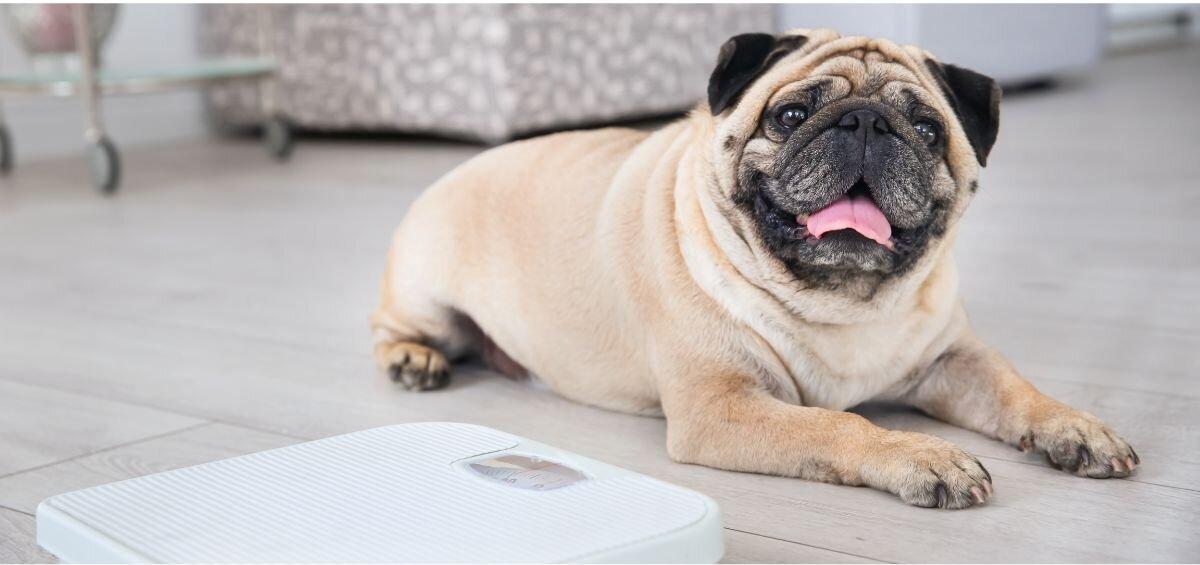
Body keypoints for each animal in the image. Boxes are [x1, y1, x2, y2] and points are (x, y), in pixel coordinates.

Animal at [369, 28, 1137, 511]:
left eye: (925, 129)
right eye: (791, 115)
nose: (865, 123)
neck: (842, 300)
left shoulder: (953, 358)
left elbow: (1017, 391)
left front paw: (1075, 428)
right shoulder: (722, 407)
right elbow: (839, 427)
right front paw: (923, 455)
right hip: (424, 292)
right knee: (391, 325)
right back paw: (412, 359)